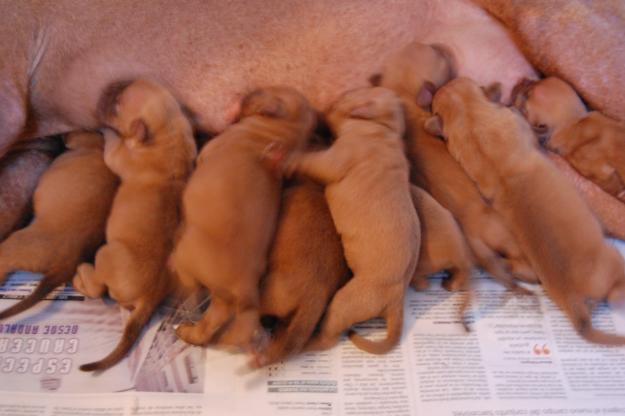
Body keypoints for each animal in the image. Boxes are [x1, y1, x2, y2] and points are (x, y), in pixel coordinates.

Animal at [70, 79, 195, 372]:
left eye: (116, 104)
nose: (106, 87)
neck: (168, 132)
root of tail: (150, 298)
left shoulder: (119, 155)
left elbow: (112, 145)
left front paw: (105, 130)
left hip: (106, 253)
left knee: (97, 286)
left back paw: (80, 274)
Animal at [169, 86, 316, 352]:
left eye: (266, 90)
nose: (245, 92)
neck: (279, 135)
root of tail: (245, 286)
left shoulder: (208, 151)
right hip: (223, 301)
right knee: (209, 326)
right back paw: (189, 333)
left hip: (188, 253)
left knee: (189, 283)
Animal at [426, 78, 624, 344]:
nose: (522, 81)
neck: (469, 114)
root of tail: (575, 305)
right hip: (614, 258)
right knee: (616, 293)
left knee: (514, 268)